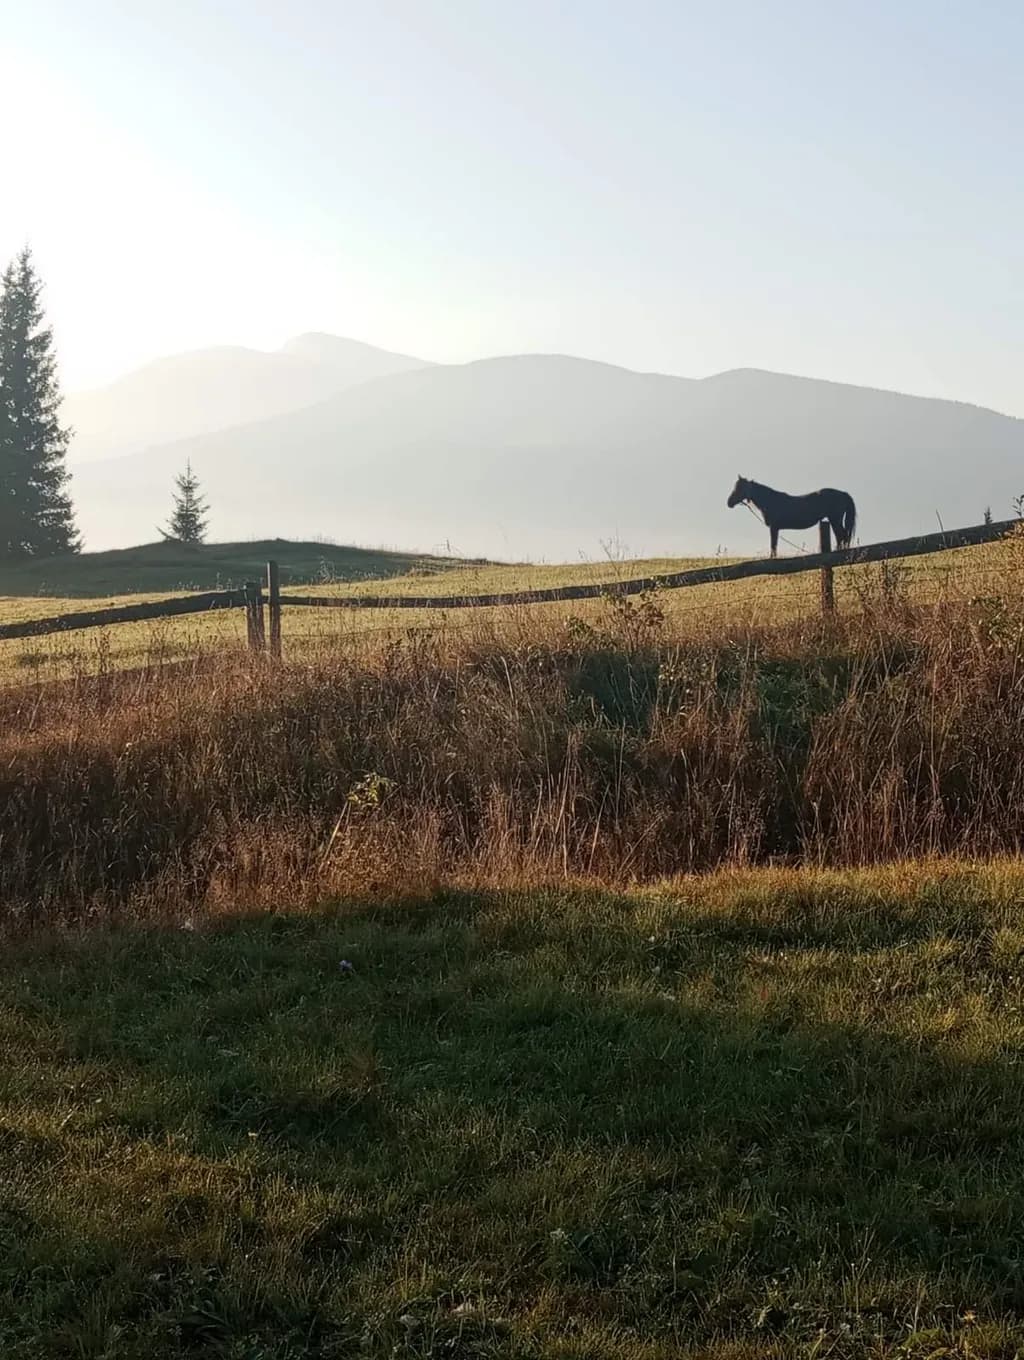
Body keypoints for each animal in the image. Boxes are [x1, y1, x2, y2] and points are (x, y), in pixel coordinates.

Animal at [727, 476, 857, 558]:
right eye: (735, 486)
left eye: (740, 488)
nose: (729, 502)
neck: (770, 501)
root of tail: (843, 493)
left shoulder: (774, 528)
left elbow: (773, 545)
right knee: (841, 537)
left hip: (835, 519)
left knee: (842, 536)